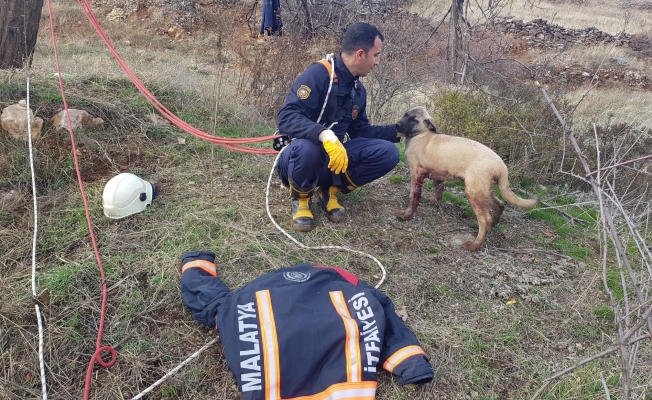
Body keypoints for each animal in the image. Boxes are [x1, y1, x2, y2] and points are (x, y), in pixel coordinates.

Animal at [394, 106, 536, 250]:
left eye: (414, 119)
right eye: (405, 114)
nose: (397, 125)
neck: (421, 135)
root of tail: (502, 166)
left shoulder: (416, 174)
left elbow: (414, 197)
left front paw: (407, 215)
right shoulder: (438, 177)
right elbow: (439, 193)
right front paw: (434, 203)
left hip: (473, 192)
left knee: (485, 220)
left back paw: (474, 245)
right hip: (482, 190)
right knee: (500, 205)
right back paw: (494, 225)